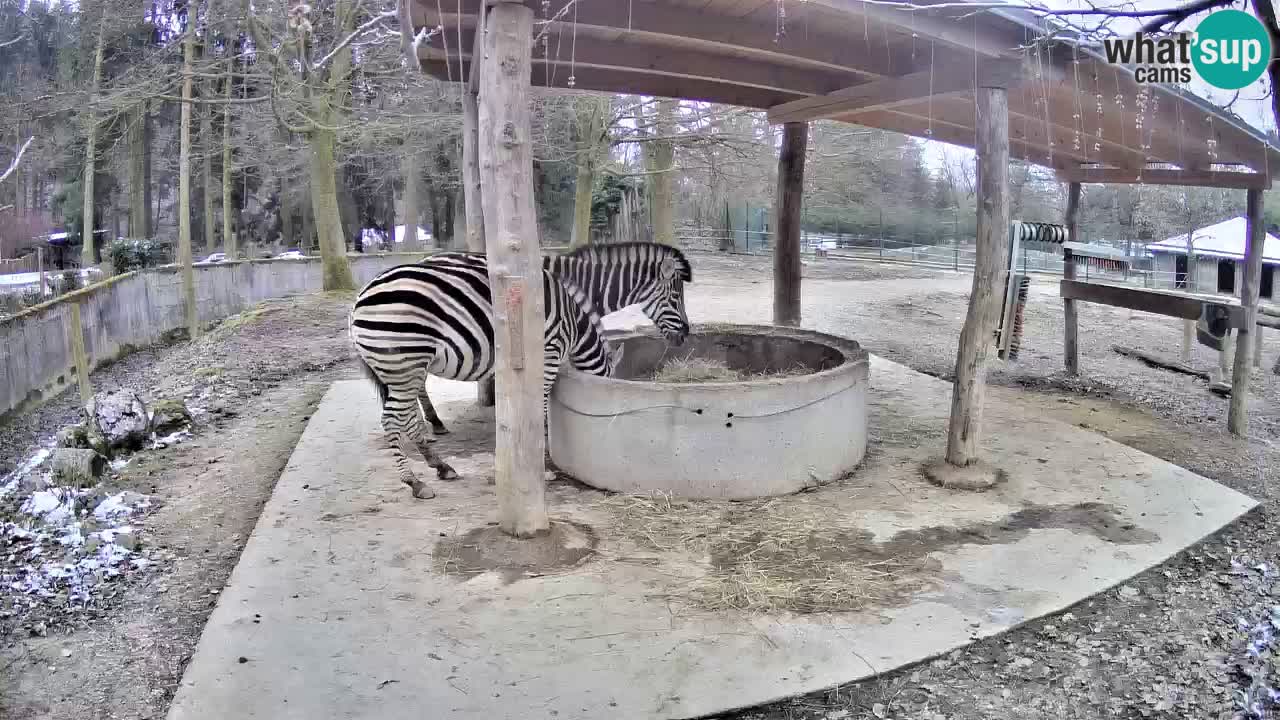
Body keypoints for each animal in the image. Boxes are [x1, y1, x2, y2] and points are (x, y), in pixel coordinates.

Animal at [348, 257, 627, 499]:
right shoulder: (549, 351)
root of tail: (359, 300)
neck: (574, 325)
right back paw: (415, 482)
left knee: (407, 418)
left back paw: (440, 466)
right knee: (391, 420)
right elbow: (540, 408)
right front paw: (543, 467)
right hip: (405, 361)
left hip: (402, 369)